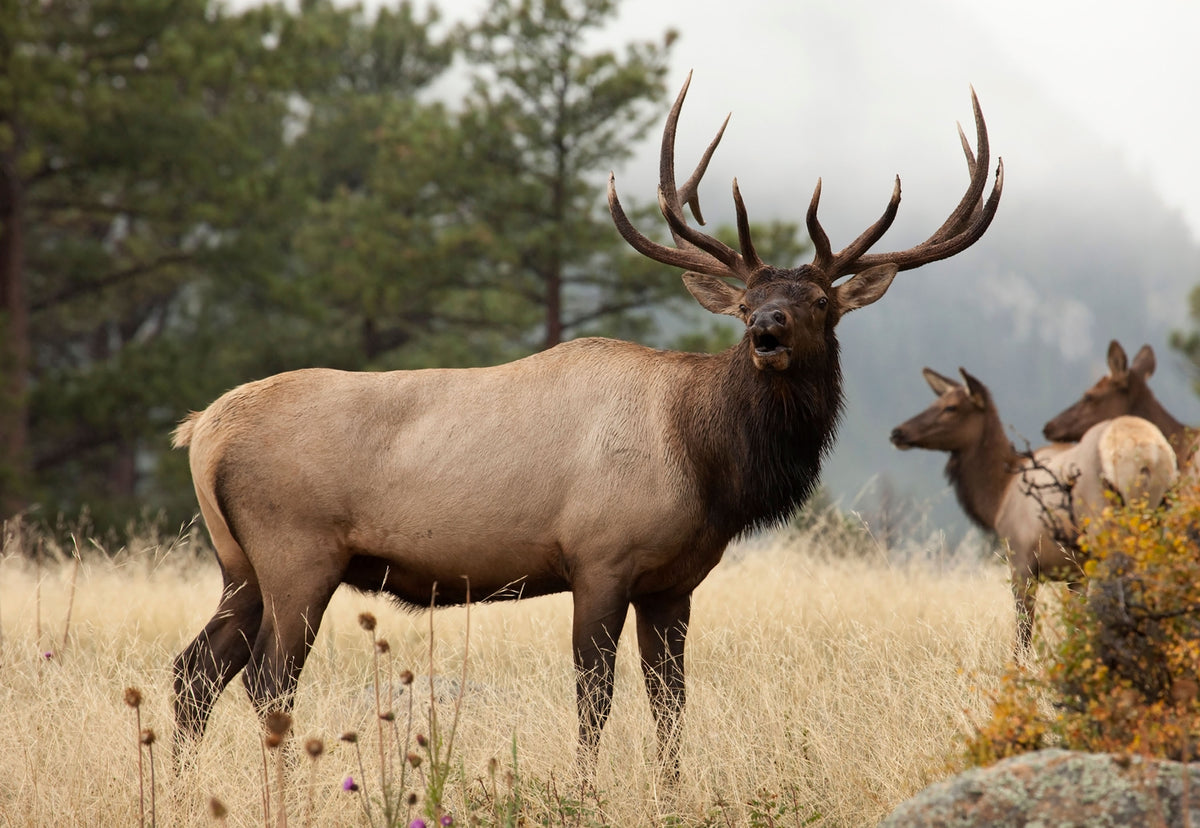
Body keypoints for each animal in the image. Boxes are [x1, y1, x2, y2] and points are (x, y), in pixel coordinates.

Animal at [170, 73, 1003, 777]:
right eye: (745, 304)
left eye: (822, 303)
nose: (767, 332)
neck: (706, 463)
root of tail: (201, 430)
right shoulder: (599, 557)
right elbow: (595, 702)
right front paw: (585, 790)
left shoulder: (675, 582)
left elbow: (671, 706)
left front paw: (670, 794)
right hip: (297, 552)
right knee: (267, 682)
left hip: (240, 565)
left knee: (193, 673)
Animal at [890, 367, 1177, 651]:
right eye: (933, 403)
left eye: (950, 407)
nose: (898, 432)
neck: (998, 498)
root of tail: (1149, 457)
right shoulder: (1075, 572)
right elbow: (1073, 626)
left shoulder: (1020, 558)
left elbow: (1023, 633)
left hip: (1103, 526)